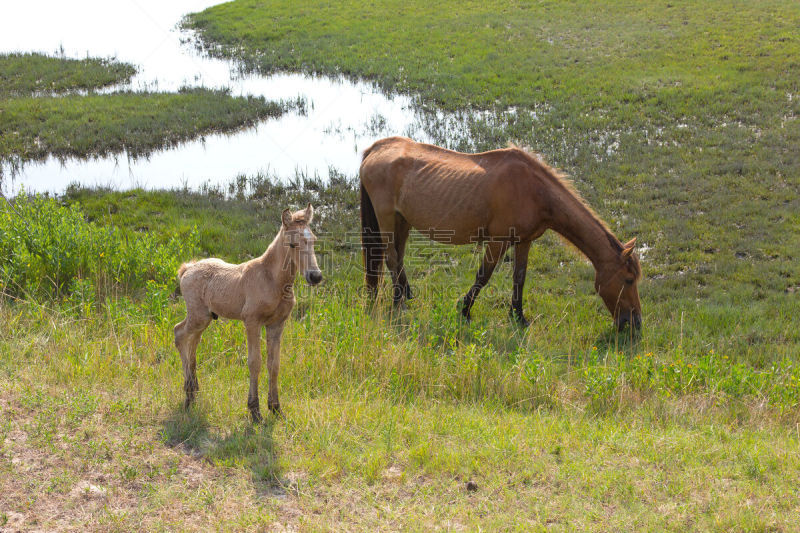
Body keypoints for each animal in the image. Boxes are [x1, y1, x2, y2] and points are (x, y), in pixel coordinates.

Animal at [175, 204, 322, 420]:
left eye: (313, 240)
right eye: (292, 244)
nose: (315, 276)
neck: (272, 280)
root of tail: (187, 268)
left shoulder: (277, 324)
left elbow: (274, 364)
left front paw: (276, 408)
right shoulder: (252, 322)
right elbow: (255, 362)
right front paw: (255, 410)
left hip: (206, 317)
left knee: (193, 341)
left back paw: (194, 389)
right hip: (197, 315)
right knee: (179, 334)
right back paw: (188, 392)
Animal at [360, 136, 640, 328]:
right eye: (628, 280)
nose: (634, 323)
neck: (535, 190)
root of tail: (376, 148)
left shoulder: (524, 241)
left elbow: (520, 277)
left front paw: (518, 316)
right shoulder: (498, 240)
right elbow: (484, 275)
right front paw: (464, 310)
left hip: (402, 220)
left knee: (399, 257)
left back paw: (407, 295)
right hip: (386, 218)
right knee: (391, 258)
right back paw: (399, 302)